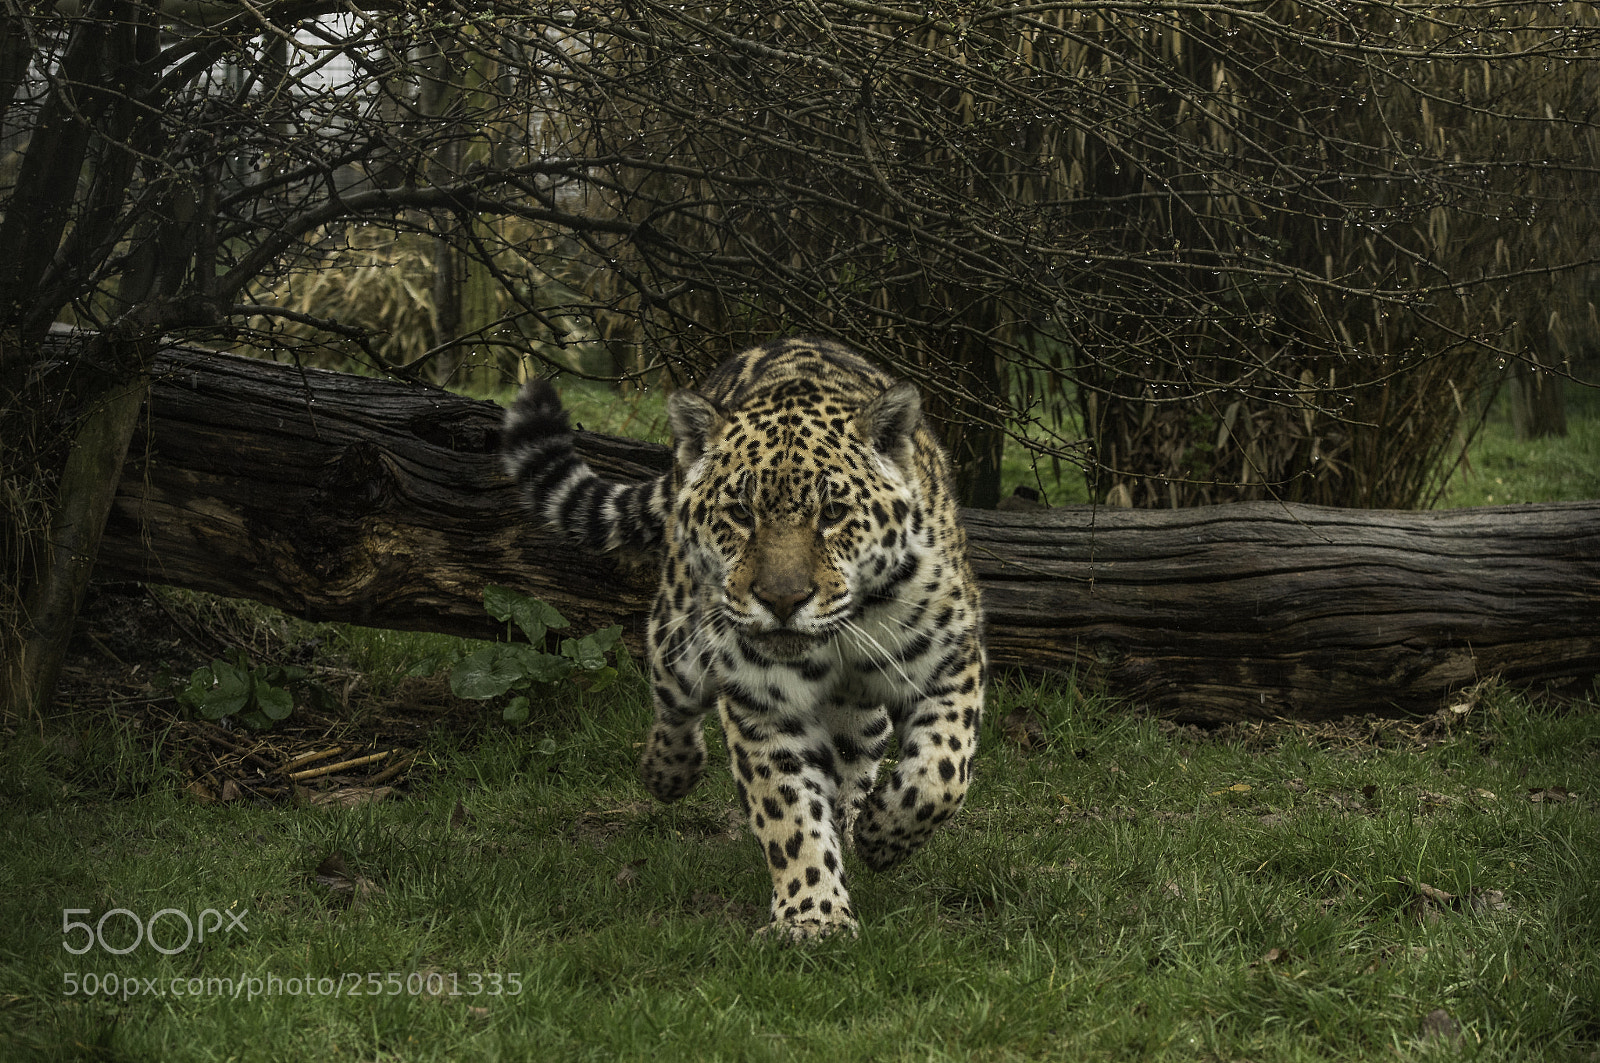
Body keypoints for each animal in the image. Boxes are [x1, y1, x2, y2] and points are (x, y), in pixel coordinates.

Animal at [501, 337, 986, 940]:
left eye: (834, 513)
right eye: (739, 512)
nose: (782, 601)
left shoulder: (951, 666)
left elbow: (940, 776)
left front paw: (882, 838)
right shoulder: (763, 705)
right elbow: (790, 816)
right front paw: (814, 918)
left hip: (864, 715)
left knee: (857, 755)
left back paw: (855, 816)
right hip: (677, 627)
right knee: (673, 700)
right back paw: (668, 771)